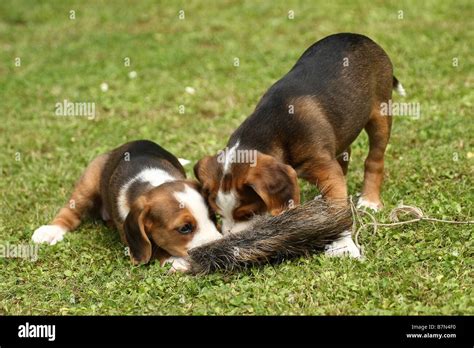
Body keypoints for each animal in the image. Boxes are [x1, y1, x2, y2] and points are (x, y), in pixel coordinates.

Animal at [33, 139, 222, 270]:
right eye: (184, 228)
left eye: (213, 217)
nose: (219, 248)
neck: (154, 183)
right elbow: (152, 249)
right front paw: (175, 261)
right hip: (88, 182)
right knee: (71, 211)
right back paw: (50, 231)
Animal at [193, 32, 404, 256]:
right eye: (218, 214)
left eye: (248, 214)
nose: (231, 242)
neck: (270, 128)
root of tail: (358, 36)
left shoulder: (325, 167)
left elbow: (338, 205)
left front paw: (344, 246)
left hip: (380, 114)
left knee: (374, 159)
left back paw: (370, 201)